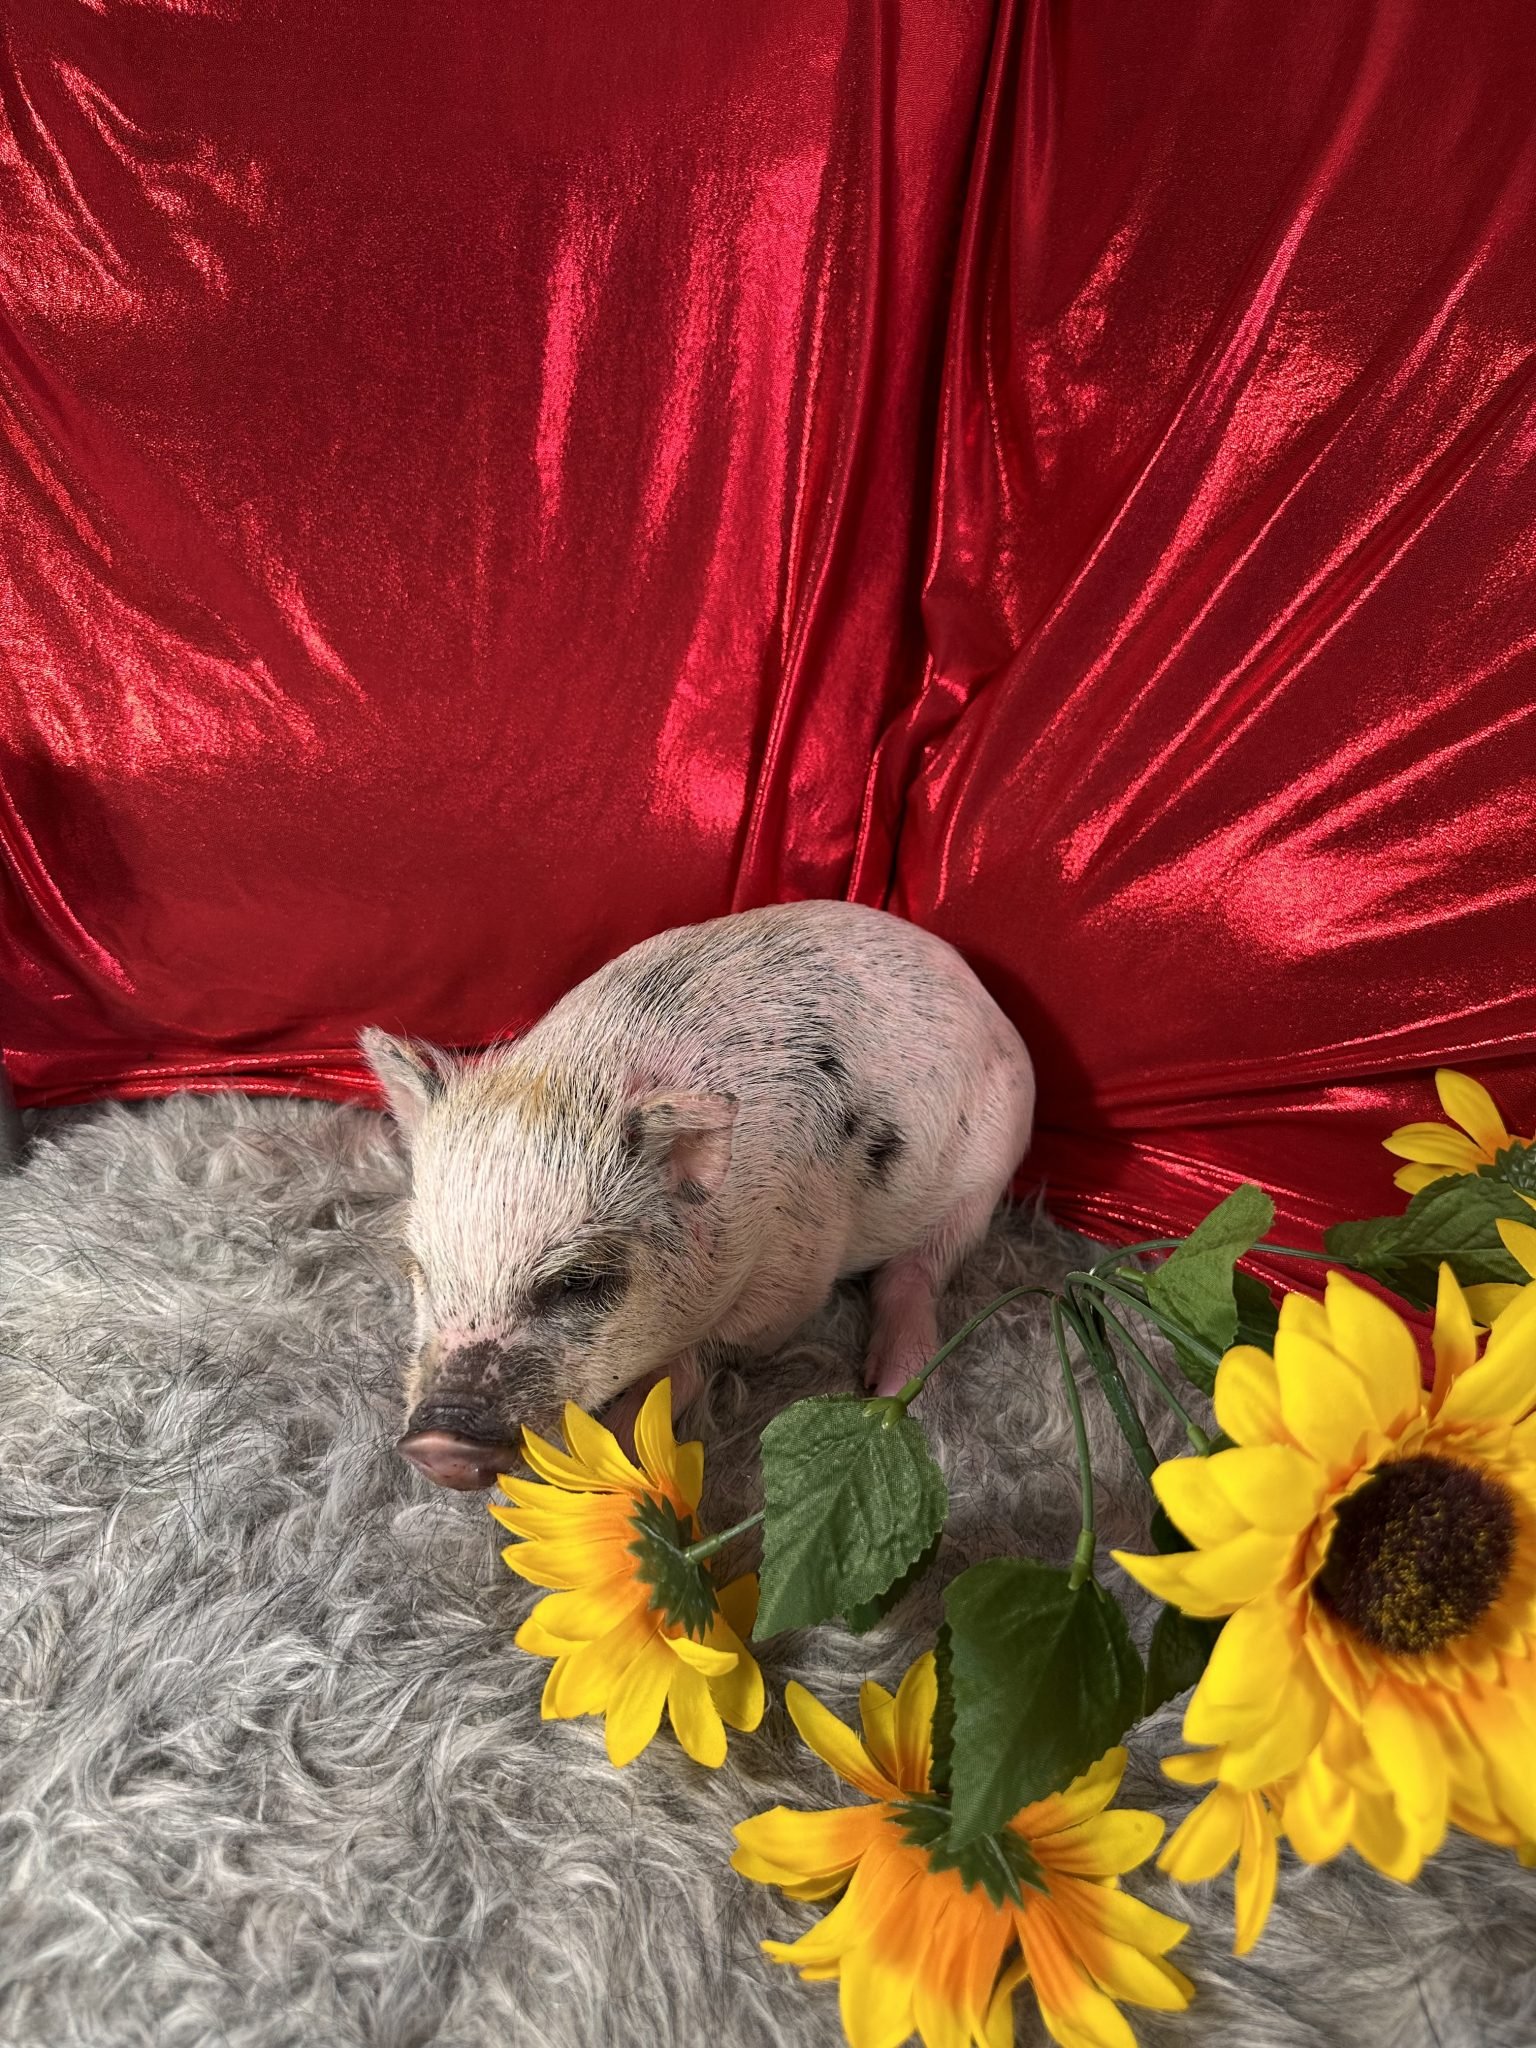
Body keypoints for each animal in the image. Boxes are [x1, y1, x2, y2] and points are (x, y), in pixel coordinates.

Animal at [363, 900, 1033, 1490]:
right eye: (422, 1269)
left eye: (578, 1282)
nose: (439, 1443)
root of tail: (984, 994)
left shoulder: (796, 1269)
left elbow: (694, 1362)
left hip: (990, 1167)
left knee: (920, 1268)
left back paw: (895, 1389)